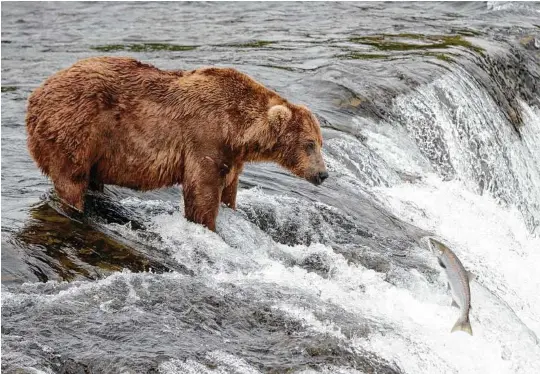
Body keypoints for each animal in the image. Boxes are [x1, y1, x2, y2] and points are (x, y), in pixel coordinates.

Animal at [26, 56, 330, 231]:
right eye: (309, 144)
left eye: (320, 142)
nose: (323, 174)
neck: (236, 130)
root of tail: (36, 94)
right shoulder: (205, 138)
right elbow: (201, 191)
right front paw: (207, 226)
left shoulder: (231, 156)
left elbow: (230, 189)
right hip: (75, 130)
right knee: (71, 179)